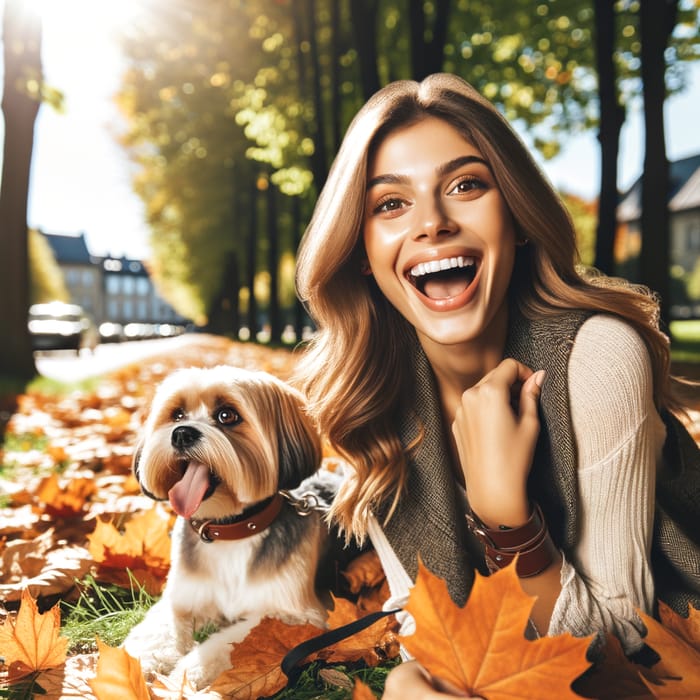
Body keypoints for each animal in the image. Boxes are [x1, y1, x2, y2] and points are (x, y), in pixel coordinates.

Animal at [123, 366, 342, 688]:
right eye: (177, 414)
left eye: (227, 415)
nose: (182, 433)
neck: (229, 531)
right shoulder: (184, 597)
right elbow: (158, 627)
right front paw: (138, 660)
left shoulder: (294, 614)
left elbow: (229, 642)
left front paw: (190, 671)